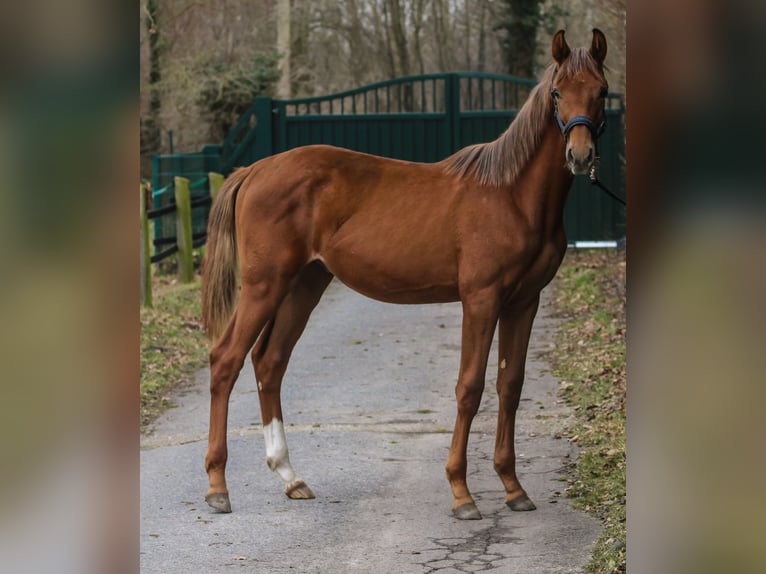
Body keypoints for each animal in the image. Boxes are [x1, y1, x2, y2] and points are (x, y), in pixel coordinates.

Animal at [201, 29, 608, 520]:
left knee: (270, 361)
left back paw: (290, 476)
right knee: (227, 360)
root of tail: (255, 169)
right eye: (556, 93)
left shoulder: (524, 301)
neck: (512, 195)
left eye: (602, 91)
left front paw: (513, 488)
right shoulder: (481, 299)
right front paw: (461, 492)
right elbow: (470, 387)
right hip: (265, 285)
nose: (580, 155)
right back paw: (218, 486)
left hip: (304, 284)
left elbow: (510, 386)